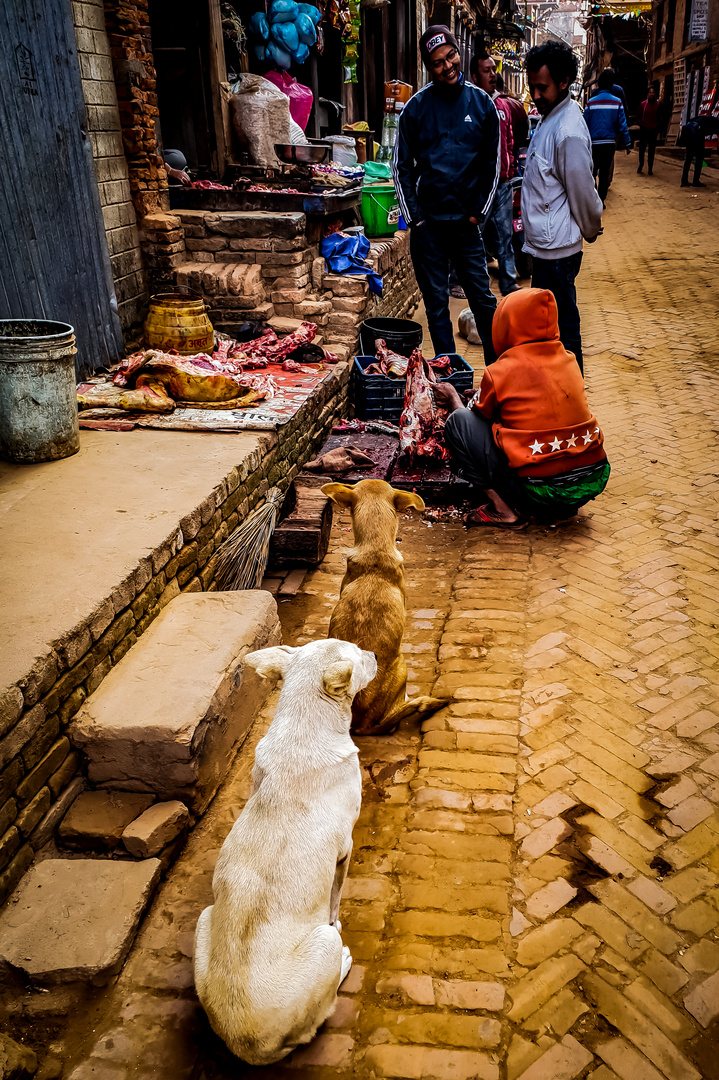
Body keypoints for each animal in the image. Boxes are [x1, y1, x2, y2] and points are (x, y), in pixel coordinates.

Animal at [193, 635, 377, 1067]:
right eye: (360, 657)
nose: (377, 655)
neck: (304, 730)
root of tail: (247, 1045)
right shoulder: (345, 849)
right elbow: (335, 900)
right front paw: (337, 915)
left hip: (205, 918)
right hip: (323, 947)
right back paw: (343, 964)